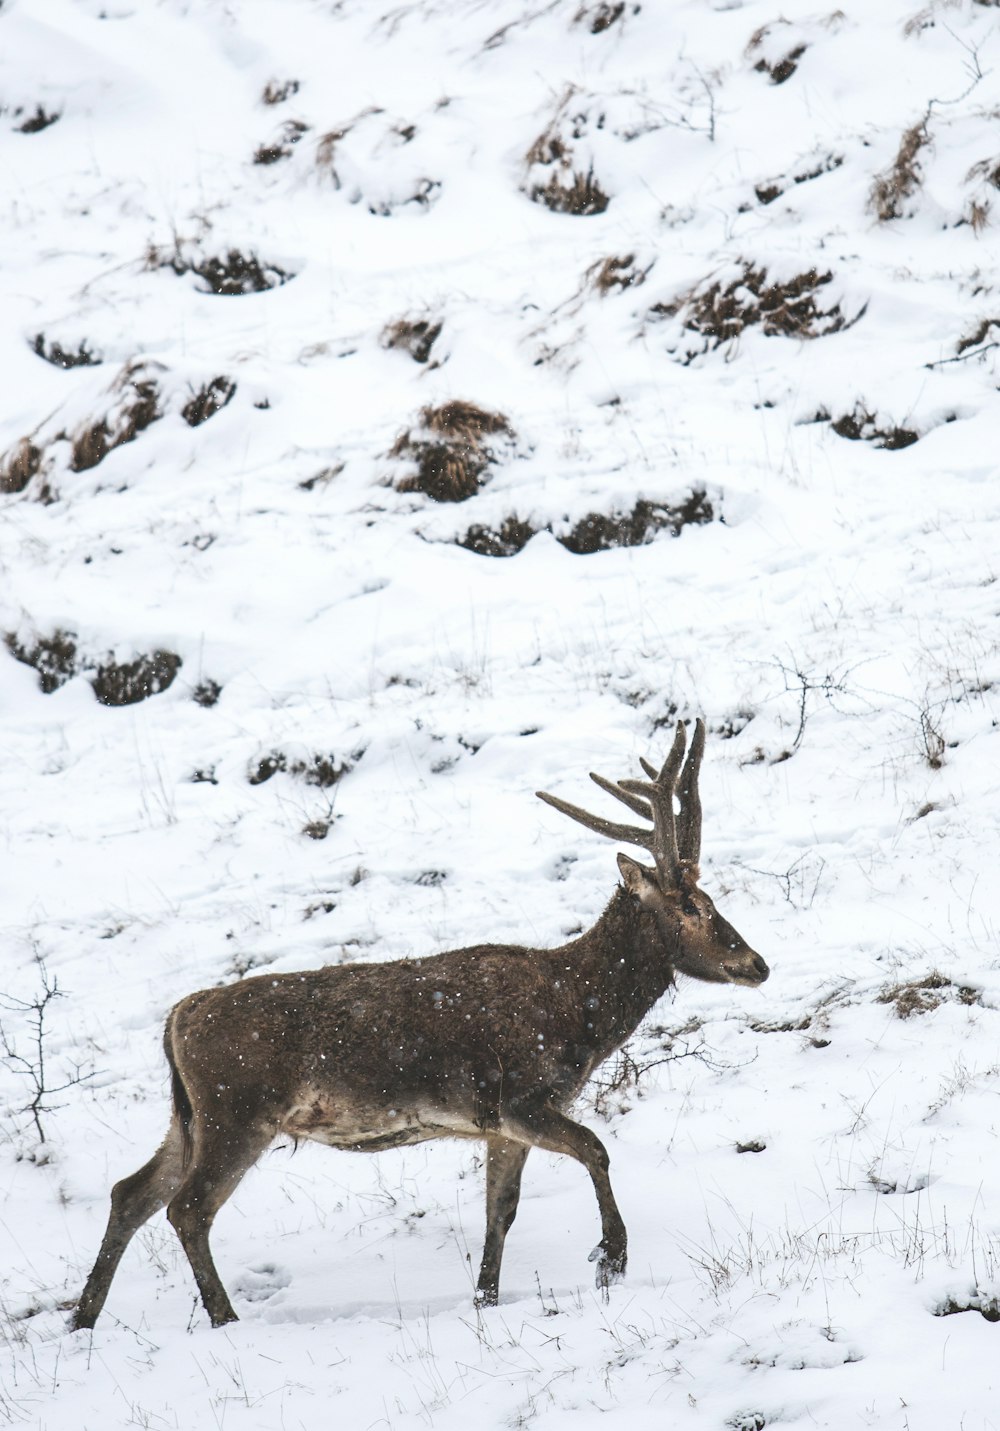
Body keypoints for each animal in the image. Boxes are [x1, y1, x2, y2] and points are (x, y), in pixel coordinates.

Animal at [70, 721, 772, 1333]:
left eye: (710, 900)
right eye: (691, 906)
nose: (756, 963)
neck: (580, 1017)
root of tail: (177, 1019)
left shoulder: (500, 1124)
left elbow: (500, 1211)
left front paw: (485, 1299)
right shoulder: (522, 1098)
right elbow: (596, 1149)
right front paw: (612, 1257)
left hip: (188, 1114)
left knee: (131, 1192)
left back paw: (83, 1320)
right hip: (237, 1110)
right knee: (187, 1208)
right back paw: (223, 1319)